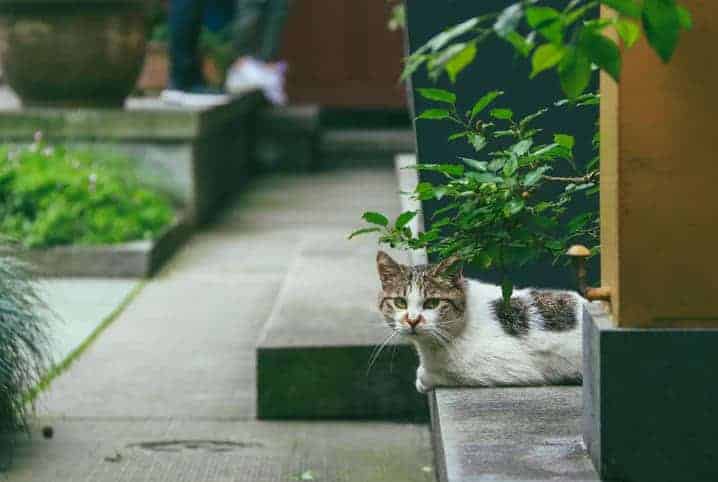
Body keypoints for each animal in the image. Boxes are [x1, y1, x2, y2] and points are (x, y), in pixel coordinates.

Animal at [376, 250, 584, 394]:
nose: (412, 320)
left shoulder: (510, 368)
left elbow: (449, 373)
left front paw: (424, 377)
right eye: (400, 302)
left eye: (432, 303)